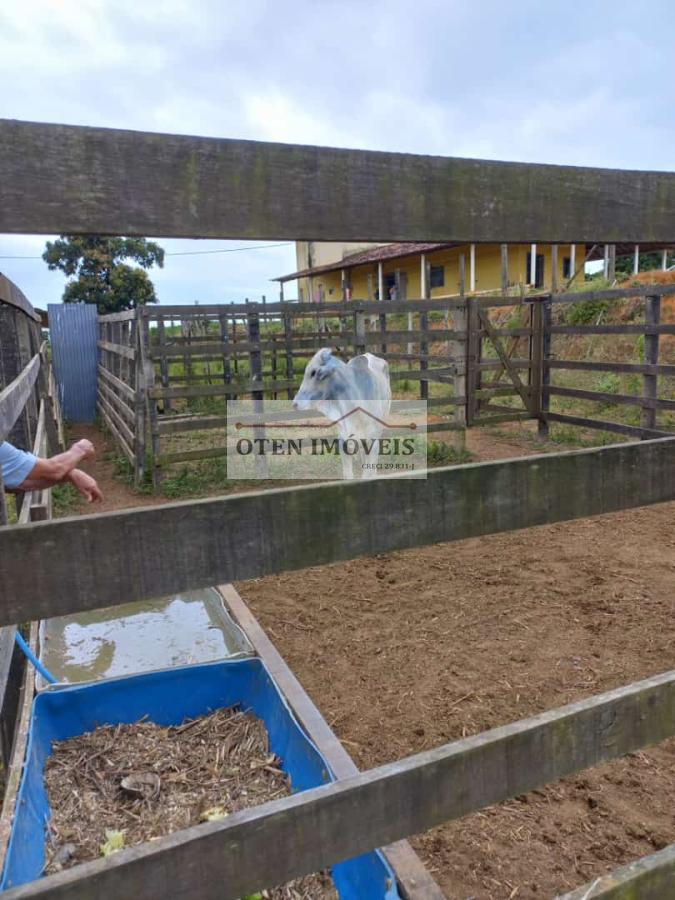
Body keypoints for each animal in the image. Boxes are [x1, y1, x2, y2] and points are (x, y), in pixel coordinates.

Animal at [294, 348, 394, 482]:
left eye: (314, 372)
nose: (295, 403)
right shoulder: (344, 442)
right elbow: (348, 475)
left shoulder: (373, 443)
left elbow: (368, 473)